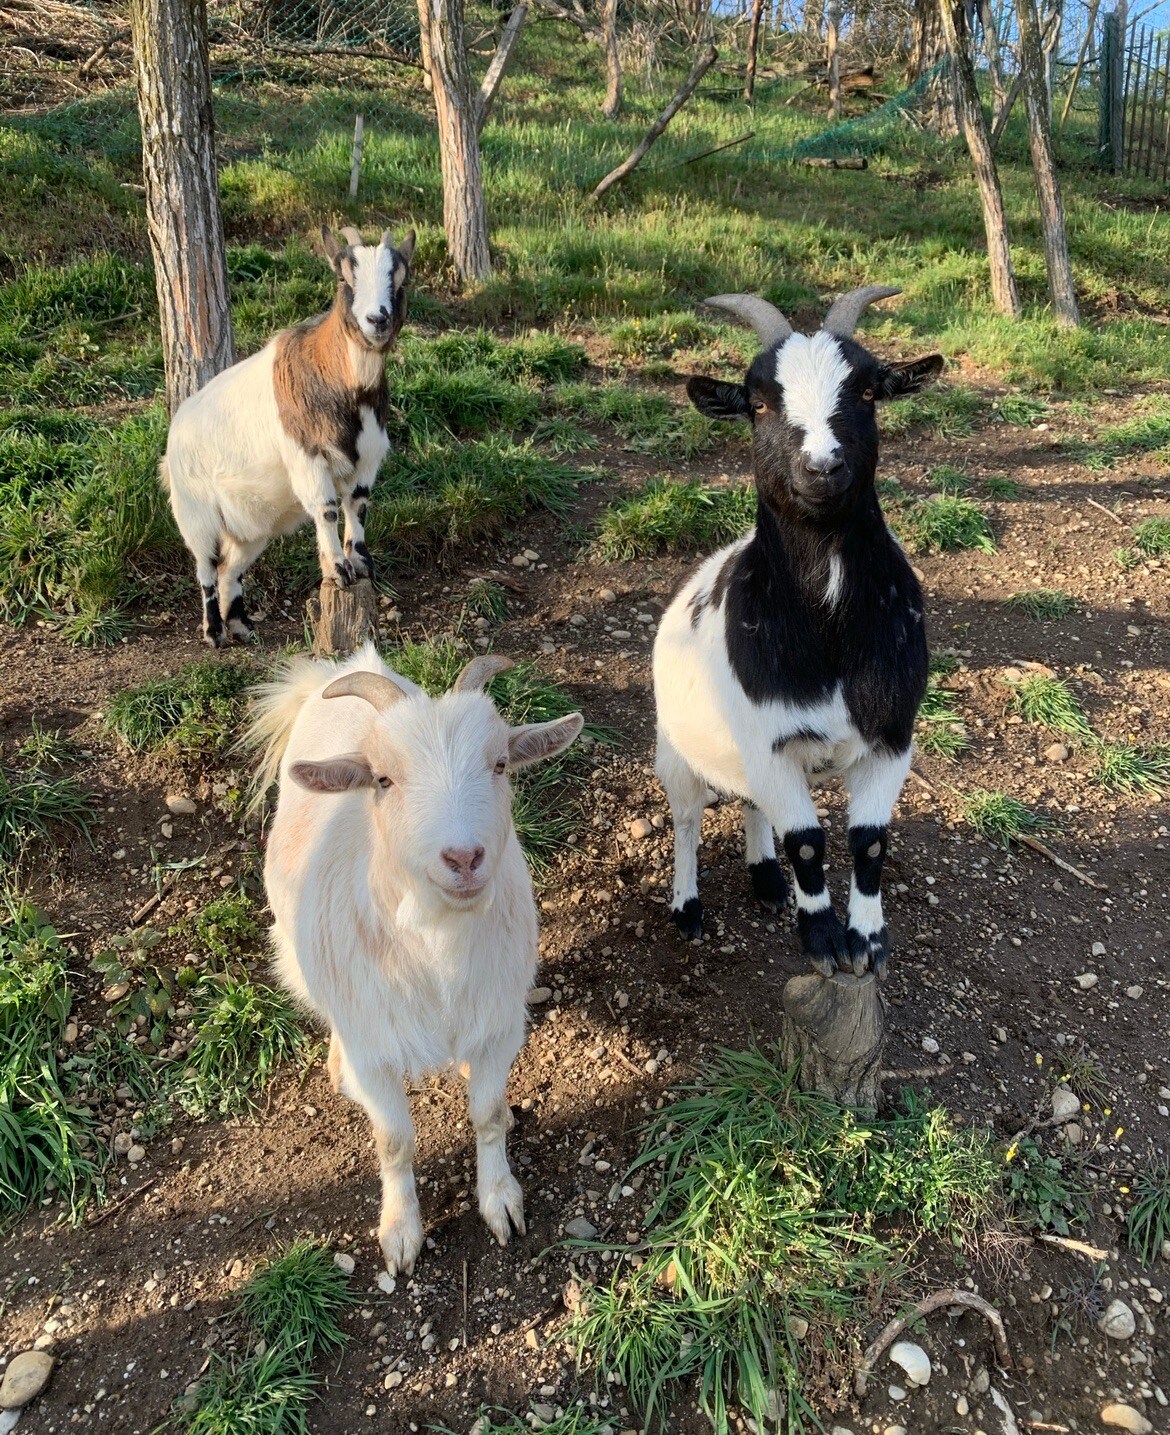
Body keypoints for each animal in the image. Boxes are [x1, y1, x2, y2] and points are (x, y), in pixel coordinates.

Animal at [160, 222, 416, 645]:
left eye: (400, 279)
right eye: (344, 278)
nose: (377, 319)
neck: (346, 385)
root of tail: (176, 426)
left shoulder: (368, 455)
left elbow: (358, 503)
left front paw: (361, 562)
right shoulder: (308, 456)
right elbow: (327, 510)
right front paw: (339, 570)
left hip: (251, 525)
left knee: (231, 567)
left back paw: (241, 625)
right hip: (194, 509)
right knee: (206, 565)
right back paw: (214, 631)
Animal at [255, 645, 585, 1274]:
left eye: (500, 764)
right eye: (383, 779)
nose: (463, 858)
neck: (441, 957)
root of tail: (344, 666)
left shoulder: (497, 1023)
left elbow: (489, 1114)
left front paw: (500, 1201)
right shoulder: (376, 1048)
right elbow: (395, 1141)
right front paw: (400, 1232)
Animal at [654, 285, 947, 981]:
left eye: (868, 390)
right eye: (757, 402)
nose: (822, 467)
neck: (829, 629)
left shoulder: (891, 737)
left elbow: (868, 843)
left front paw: (867, 943)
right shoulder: (771, 744)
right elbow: (810, 845)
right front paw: (821, 940)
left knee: (749, 802)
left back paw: (764, 877)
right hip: (674, 749)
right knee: (686, 819)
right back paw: (687, 907)